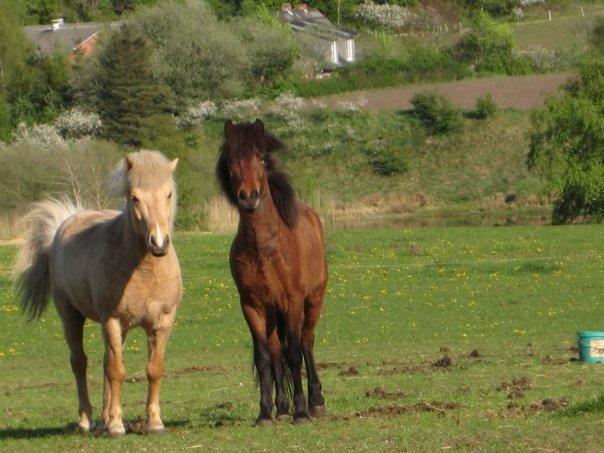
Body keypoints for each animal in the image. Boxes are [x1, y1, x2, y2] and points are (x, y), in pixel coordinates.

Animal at [13, 150, 179, 436]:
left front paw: (155, 422)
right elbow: (117, 371)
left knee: (104, 362)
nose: (158, 243)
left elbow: (153, 369)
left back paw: (104, 418)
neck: (145, 271)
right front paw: (116, 426)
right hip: (70, 316)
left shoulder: (162, 322)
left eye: (168, 194)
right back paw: (87, 420)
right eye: (134, 197)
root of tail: (65, 223)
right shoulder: (111, 320)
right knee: (80, 363)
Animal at [217, 119, 328, 424]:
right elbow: (265, 357)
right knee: (277, 350)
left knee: (306, 342)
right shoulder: (252, 306)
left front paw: (301, 412)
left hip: (313, 301)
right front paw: (265, 413)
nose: (248, 197)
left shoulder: (293, 301)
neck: (264, 247)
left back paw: (316, 402)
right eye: (230, 159)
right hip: (273, 311)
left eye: (260, 157)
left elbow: (294, 355)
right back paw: (281, 408)